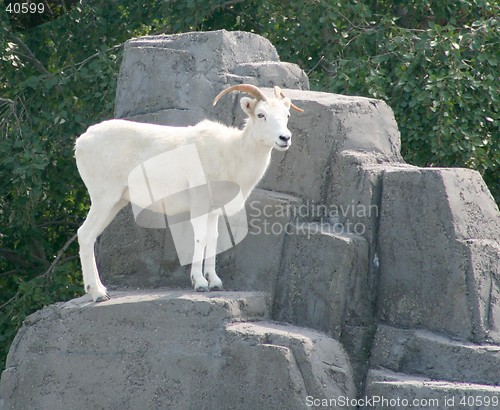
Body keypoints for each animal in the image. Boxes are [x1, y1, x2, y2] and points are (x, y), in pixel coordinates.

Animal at [73, 84, 300, 302]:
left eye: (287, 115)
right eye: (261, 114)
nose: (285, 138)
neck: (230, 153)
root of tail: (81, 142)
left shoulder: (213, 211)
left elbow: (214, 238)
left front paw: (215, 281)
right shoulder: (199, 204)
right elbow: (200, 237)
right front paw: (199, 283)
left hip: (115, 203)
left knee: (90, 236)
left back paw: (100, 290)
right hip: (104, 199)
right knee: (85, 234)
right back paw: (98, 294)